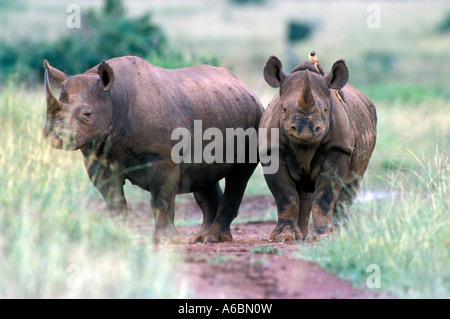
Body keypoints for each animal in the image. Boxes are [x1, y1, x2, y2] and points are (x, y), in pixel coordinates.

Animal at [43, 56, 264, 244]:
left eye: (87, 114)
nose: (55, 135)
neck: (113, 98)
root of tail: (246, 87)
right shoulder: (98, 157)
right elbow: (114, 200)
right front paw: (117, 236)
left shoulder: (162, 157)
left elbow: (161, 198)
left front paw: (166, 240)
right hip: (216, 104)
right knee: (203, 176)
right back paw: (201, 238)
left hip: (255, 118)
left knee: (238, 177)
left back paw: (214, 238)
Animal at [258, 55, 378, 241]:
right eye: (283, 109)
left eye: (326, 110)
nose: (305, 130)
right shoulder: (272, 149)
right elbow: (285, 195)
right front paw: (284, 237)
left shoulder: (338, 147)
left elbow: (325, 194)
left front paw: (324, 235)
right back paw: (303, 236)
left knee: (349, 185)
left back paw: (340, 232)